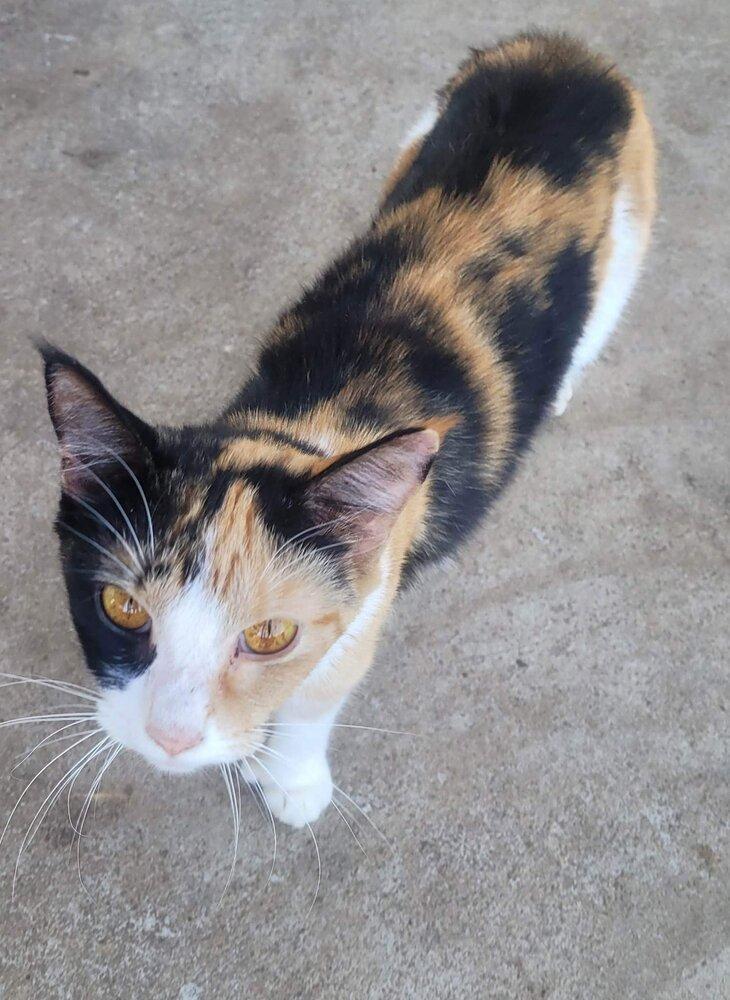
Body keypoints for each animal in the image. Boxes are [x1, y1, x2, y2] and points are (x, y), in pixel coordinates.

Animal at [39, 33, 656, 828]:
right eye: (122, 608)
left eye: (270, 636)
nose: (170, 738)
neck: (298, 426)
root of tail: (561, 48)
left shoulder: (370, 591)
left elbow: (317, 696)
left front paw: (292, 780)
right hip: (416, 133)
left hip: (631, 228)